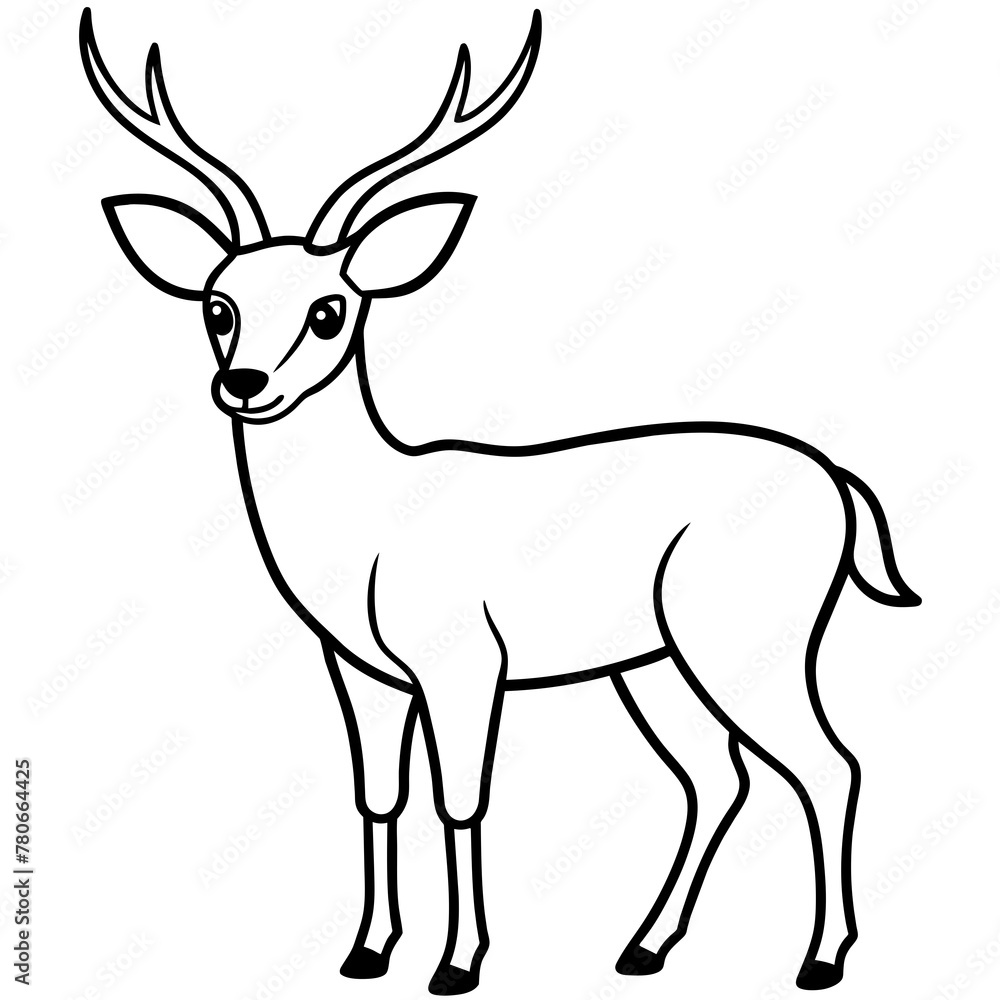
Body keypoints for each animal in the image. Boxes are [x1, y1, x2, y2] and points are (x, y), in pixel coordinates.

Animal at [81, 7, 920, 995]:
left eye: (331, 309)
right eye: (218, 305)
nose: (245, 384)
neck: (367, 528)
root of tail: (839, 482)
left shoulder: (464, 661)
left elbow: (462, 800)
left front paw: (458, 963)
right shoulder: (361, 669)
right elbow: (379, 793)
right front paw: (366, 951)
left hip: (749, 635)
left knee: (829, 765)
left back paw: (819, 959)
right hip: (652, 661)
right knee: (719, 778)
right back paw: (642, 947)